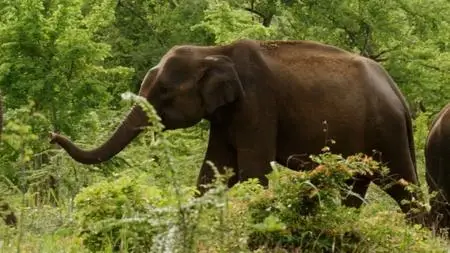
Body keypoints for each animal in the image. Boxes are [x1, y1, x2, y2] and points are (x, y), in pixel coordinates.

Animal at [49, 39, 422, 221]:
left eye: (164, 92)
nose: (53, 135)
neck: (213, 52)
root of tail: (400, 96)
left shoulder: (257, 104)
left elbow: (253, 170)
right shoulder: (226, 115)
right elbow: (215, 170)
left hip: (386, 132)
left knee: (401, 184)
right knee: (358, 187)